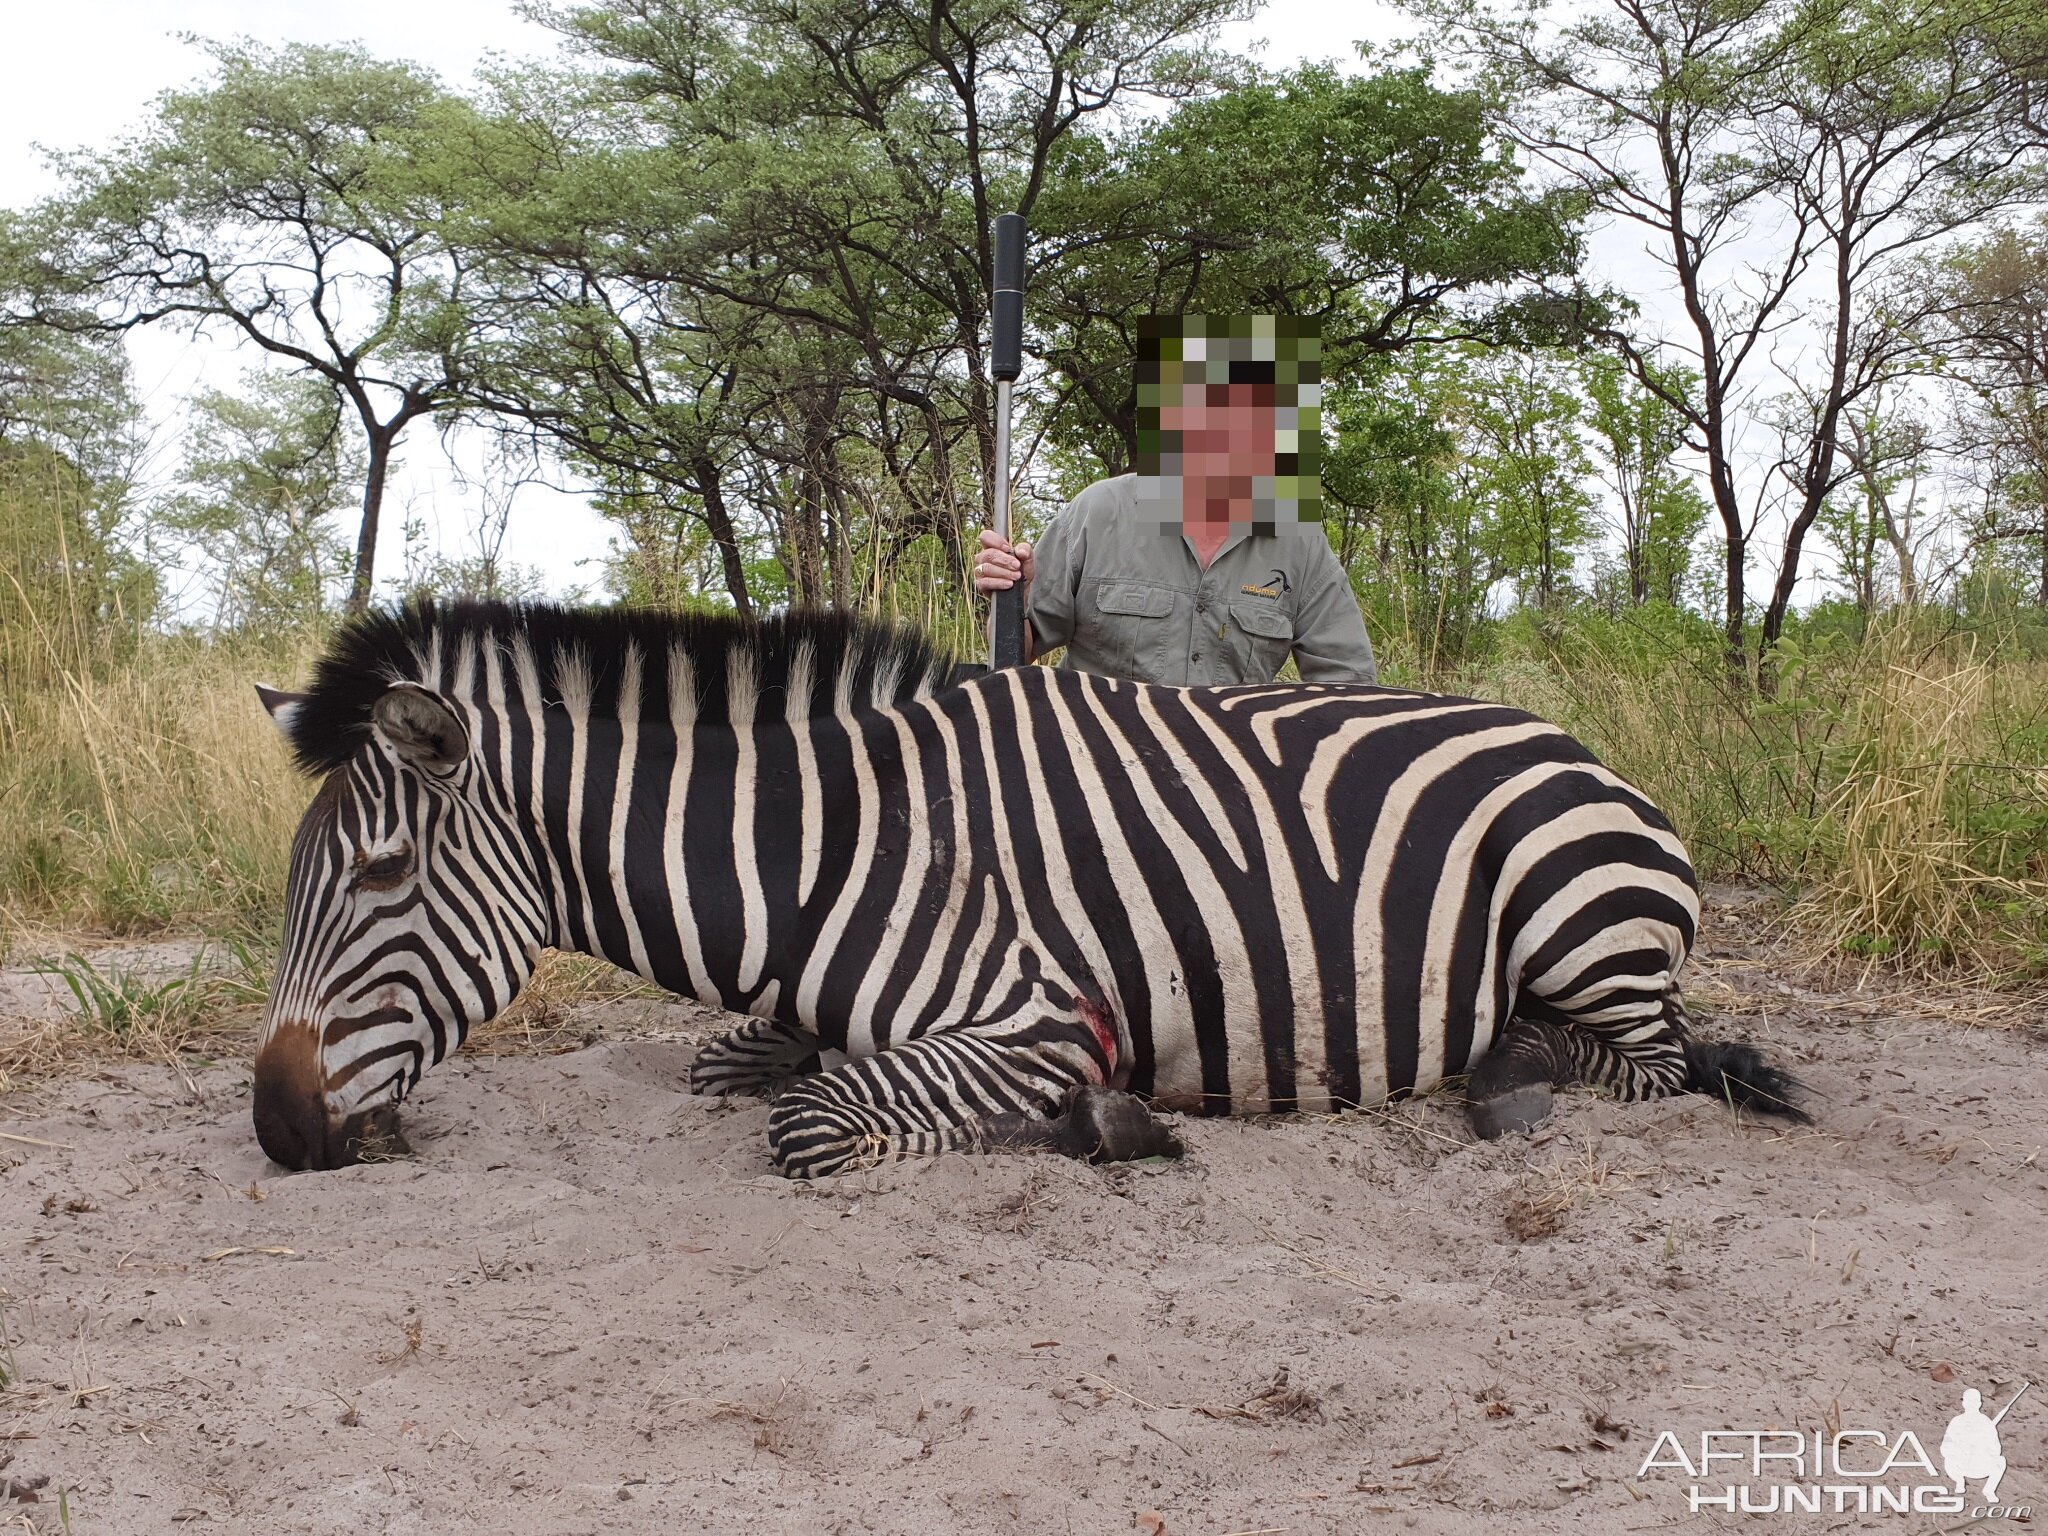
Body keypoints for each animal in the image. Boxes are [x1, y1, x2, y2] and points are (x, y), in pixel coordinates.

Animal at [247, 602, 1802, 1179]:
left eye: (380, 874)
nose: (277, 1128)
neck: (830, 848)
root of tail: (1579, 744)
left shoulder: (1035, 1015)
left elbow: (817, 1119)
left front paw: (1110, 1122)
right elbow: (741, 1061)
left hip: (1572, 920)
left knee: (1646, 1062)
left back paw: (1508, 1078)